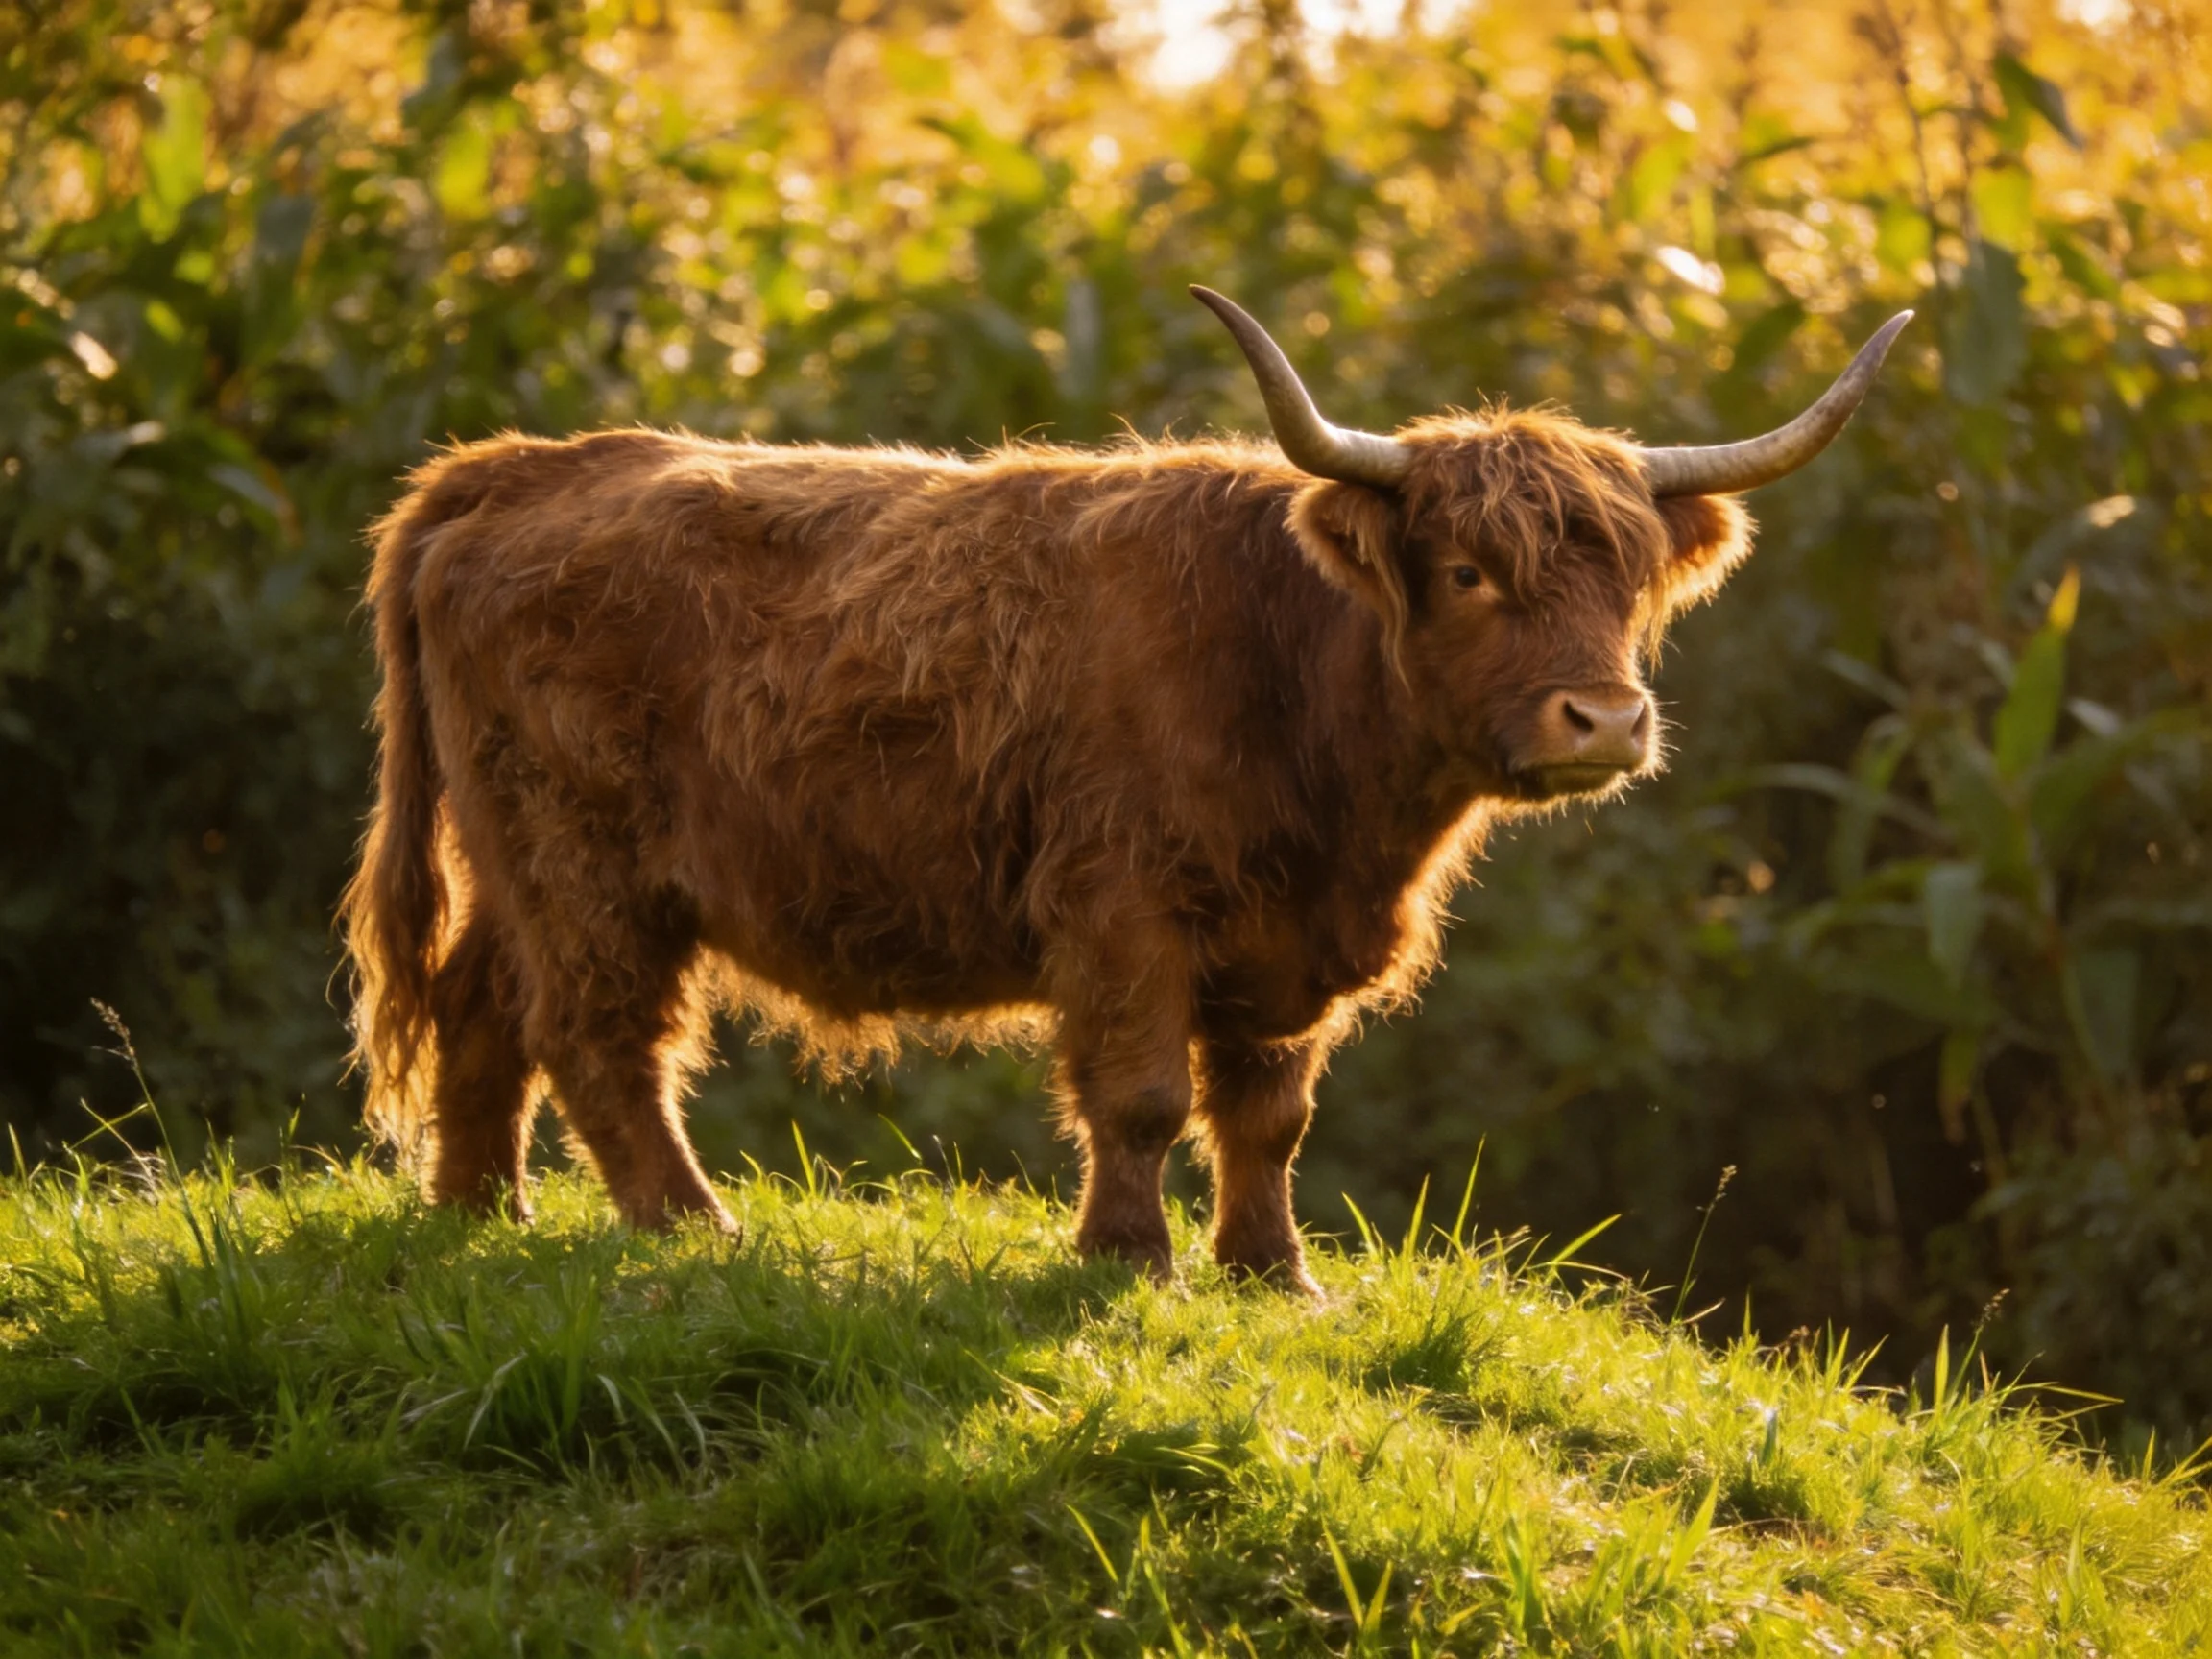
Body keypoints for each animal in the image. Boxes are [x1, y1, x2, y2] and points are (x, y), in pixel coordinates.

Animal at [341, 288, 1908, 1290]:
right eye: (1468, 572)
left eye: (1630, 579)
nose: (1606, 718)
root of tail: (509, 469)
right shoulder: (1123, 909)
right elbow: (1146, 1097)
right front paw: (1129, 1258)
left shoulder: (1289, 943)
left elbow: (1270, 1115)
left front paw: (1274, 1275)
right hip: (589, 860)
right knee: (601, 1033)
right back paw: (689, 1227)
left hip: (520, 859)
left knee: (485, 1007)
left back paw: (479, 1210)